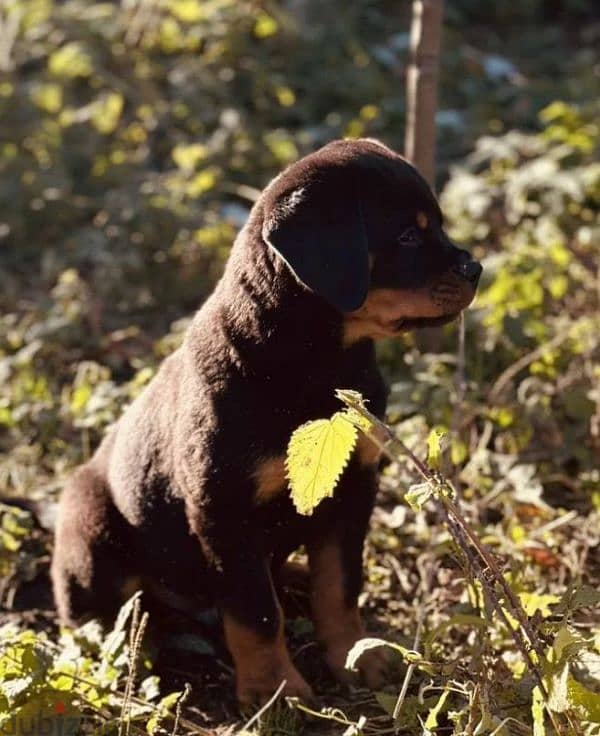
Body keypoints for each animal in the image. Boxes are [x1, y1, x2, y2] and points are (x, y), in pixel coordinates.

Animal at [52, 137, 482, 700]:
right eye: (408, 236)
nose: (475, 269)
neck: (314, 364)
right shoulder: (224, 509)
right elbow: (254, 613)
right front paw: (274, 690)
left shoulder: (353, 487)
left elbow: (339, 585)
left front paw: (358, 656)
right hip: (92, 532)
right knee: (98, 617)